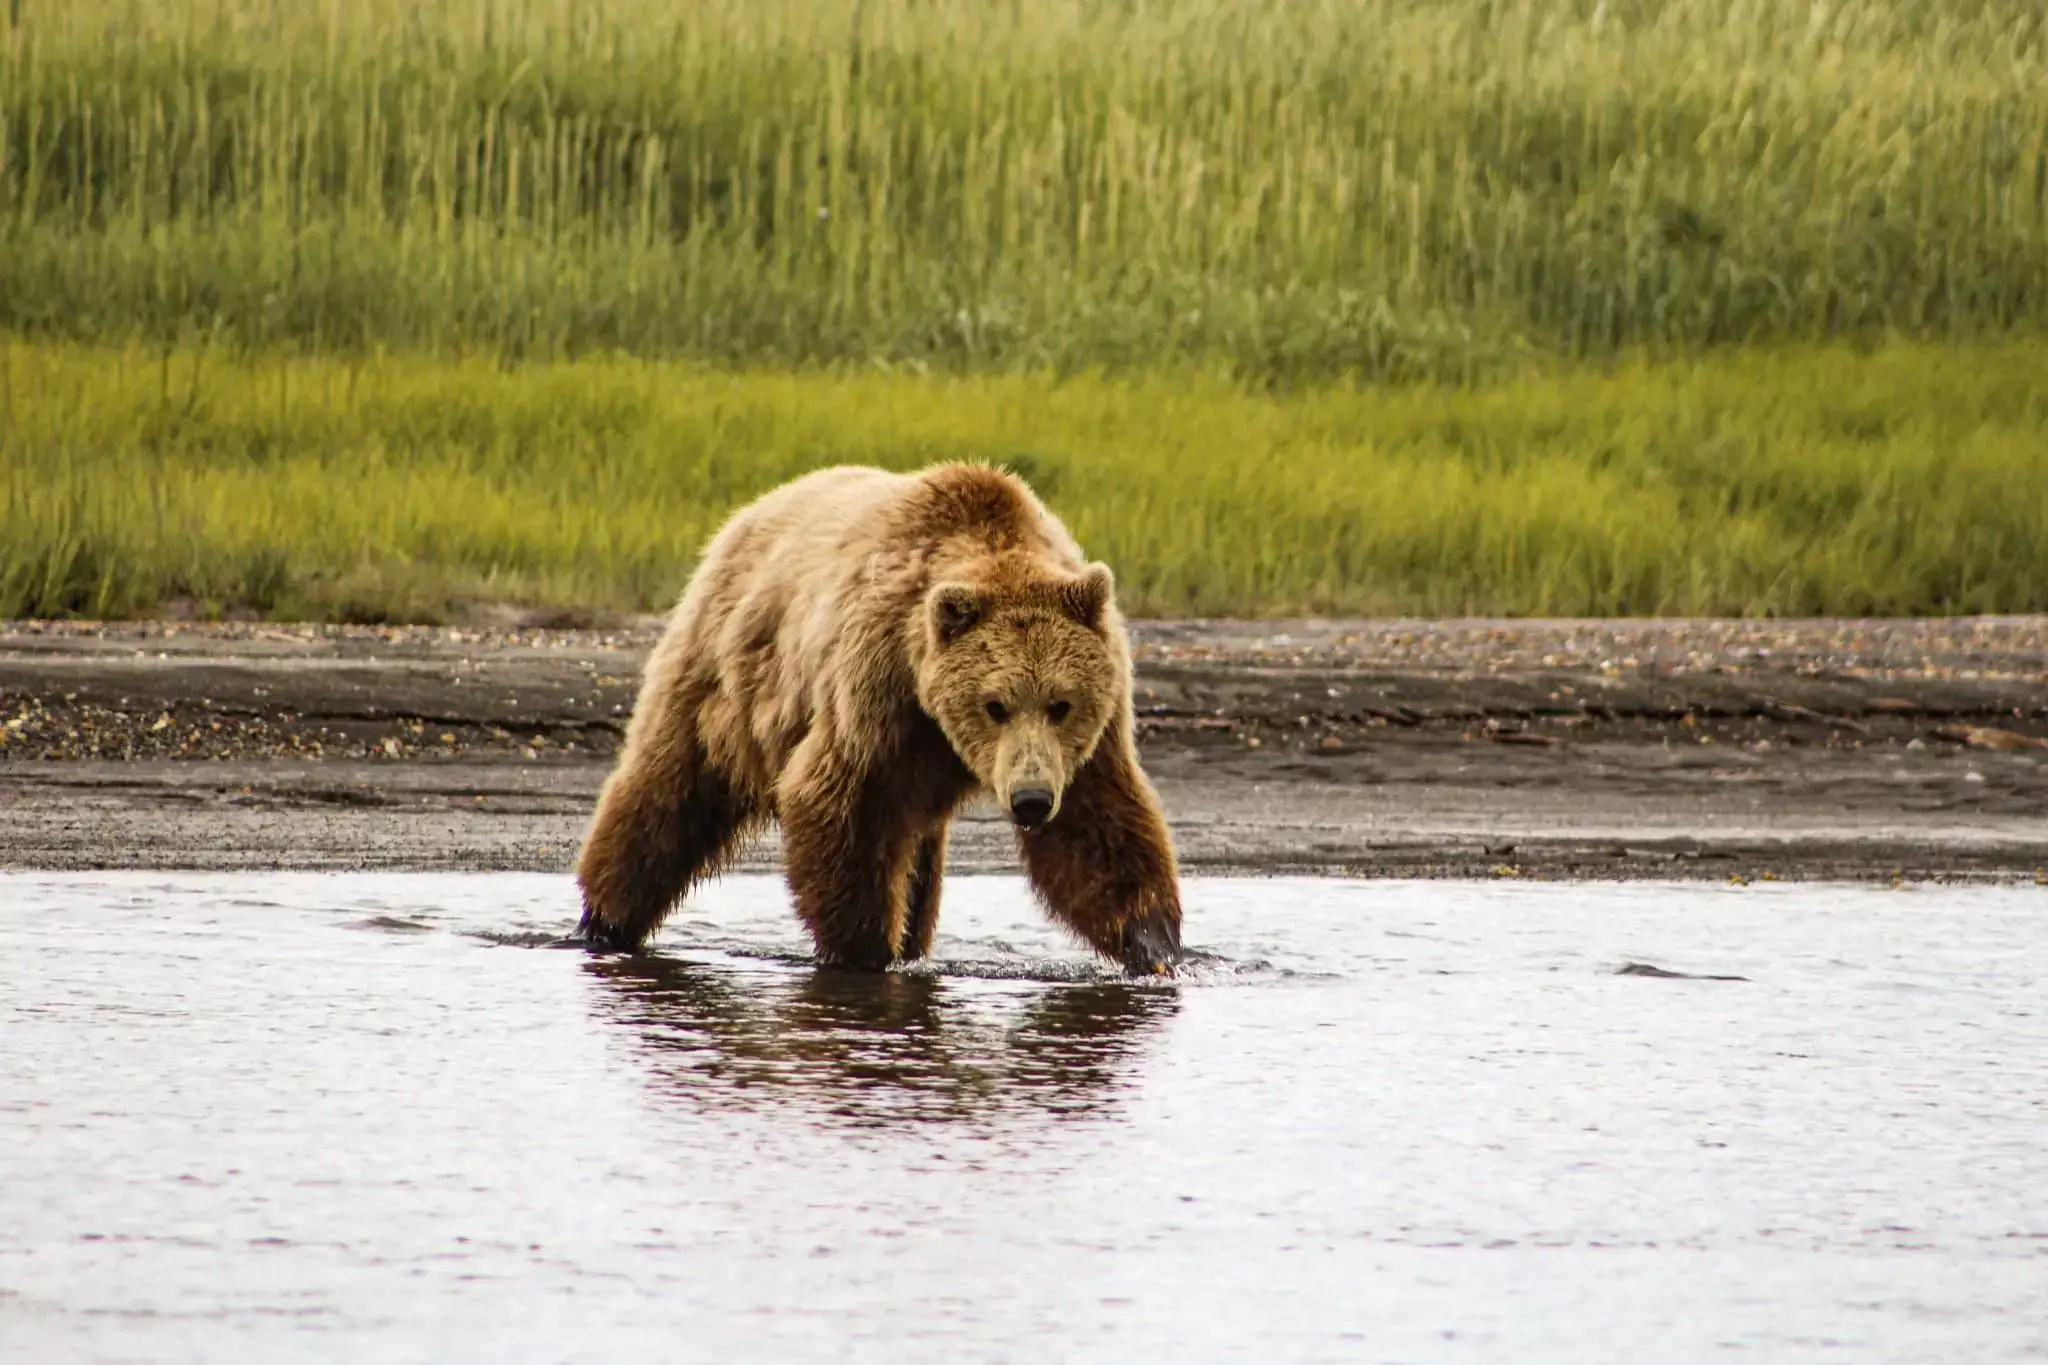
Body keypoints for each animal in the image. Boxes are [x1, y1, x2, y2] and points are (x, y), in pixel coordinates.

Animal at [573, 464, 1187, 978]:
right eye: (994, 704)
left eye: (1060, 703)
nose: (1031, 800)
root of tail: (750, 513)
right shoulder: (878, 687)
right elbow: (842, 803)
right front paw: (865, 953)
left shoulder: (1090, 736)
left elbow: (1099, 825)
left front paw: (1156, 947)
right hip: (721, 678)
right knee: (665, 792)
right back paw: (602, 922)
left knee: (919, 865)